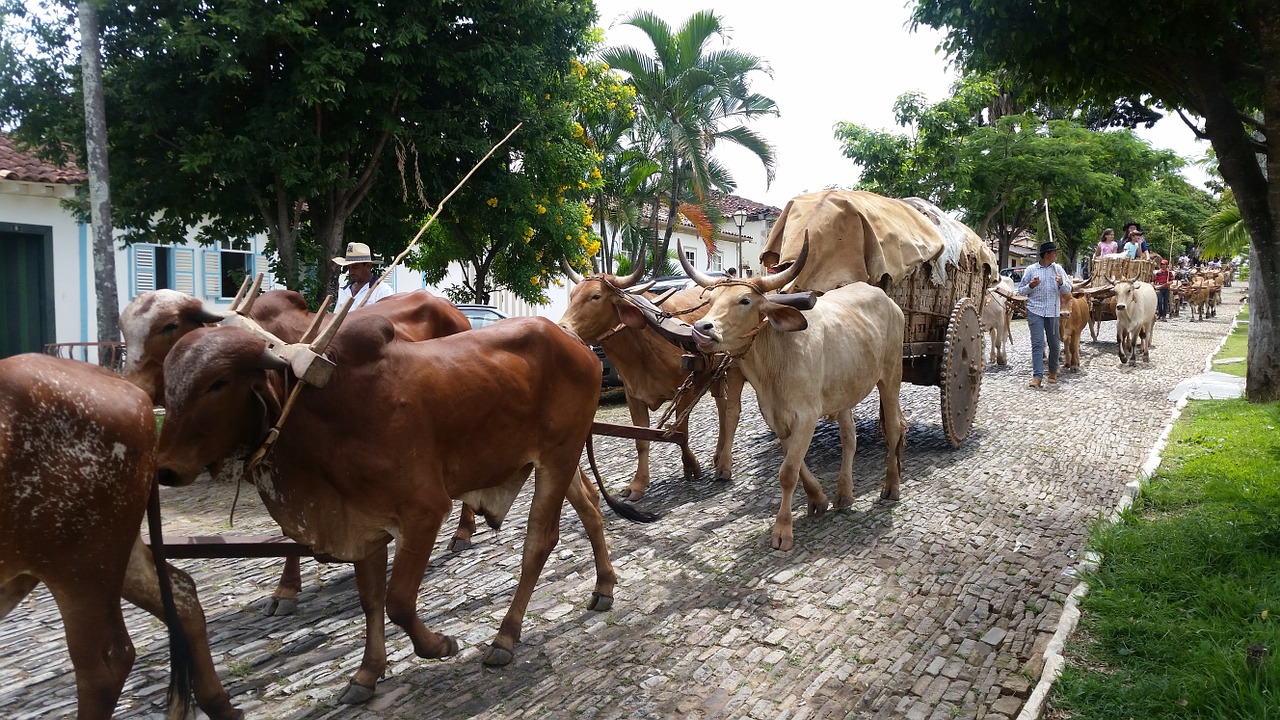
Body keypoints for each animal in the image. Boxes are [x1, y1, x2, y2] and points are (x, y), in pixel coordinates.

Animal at [680, 238, 911, 545]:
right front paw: (818, 499)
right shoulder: (778, 419)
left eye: (744, 300)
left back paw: (891, 485)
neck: (774, 363)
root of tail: (886, 299)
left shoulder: (806, 416)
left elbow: (788, 472)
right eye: (710, 301)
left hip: (891, 376)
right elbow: (796, 463)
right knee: (849, 439)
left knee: (895, 428)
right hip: (844, 390)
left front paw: (782, 529)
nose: (701, 329)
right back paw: (844, 493)